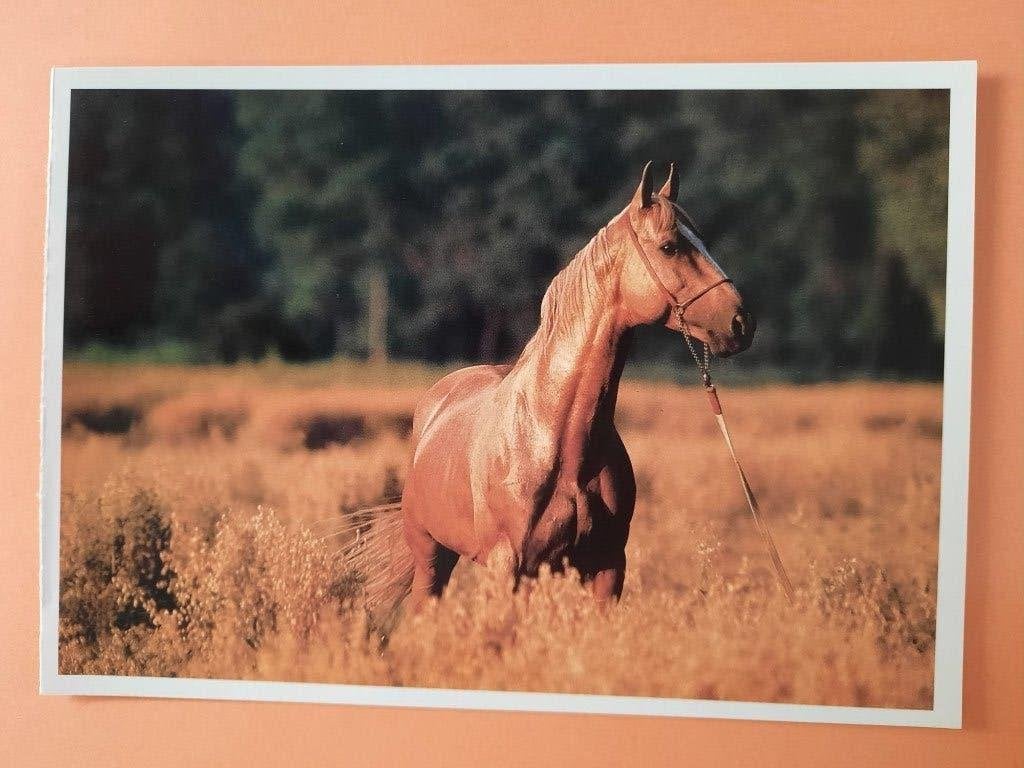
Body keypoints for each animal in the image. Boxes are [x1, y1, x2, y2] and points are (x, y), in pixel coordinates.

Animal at [350, 162, 755, 615]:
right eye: (670, 247)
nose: (742, 322)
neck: (557, 438)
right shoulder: (507, 564)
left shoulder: (607, 567)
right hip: (432, 556)